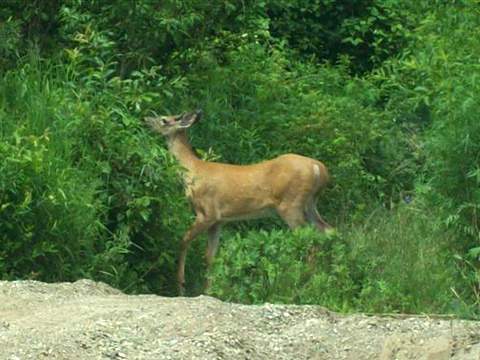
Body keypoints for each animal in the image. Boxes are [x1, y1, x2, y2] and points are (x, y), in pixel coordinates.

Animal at [144, 110, 332, 296]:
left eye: (163, 120)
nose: (146, 119)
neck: (191, 172)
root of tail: (319, 168)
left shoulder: (207, 212)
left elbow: (184, 240)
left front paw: (181, 286)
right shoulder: (218, 220)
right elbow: (211, 255)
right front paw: (208, 291)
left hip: (290, 204)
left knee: (310, 240)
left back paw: (303, 283)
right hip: (310, 203)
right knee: (327, 230)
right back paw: (325, 278)